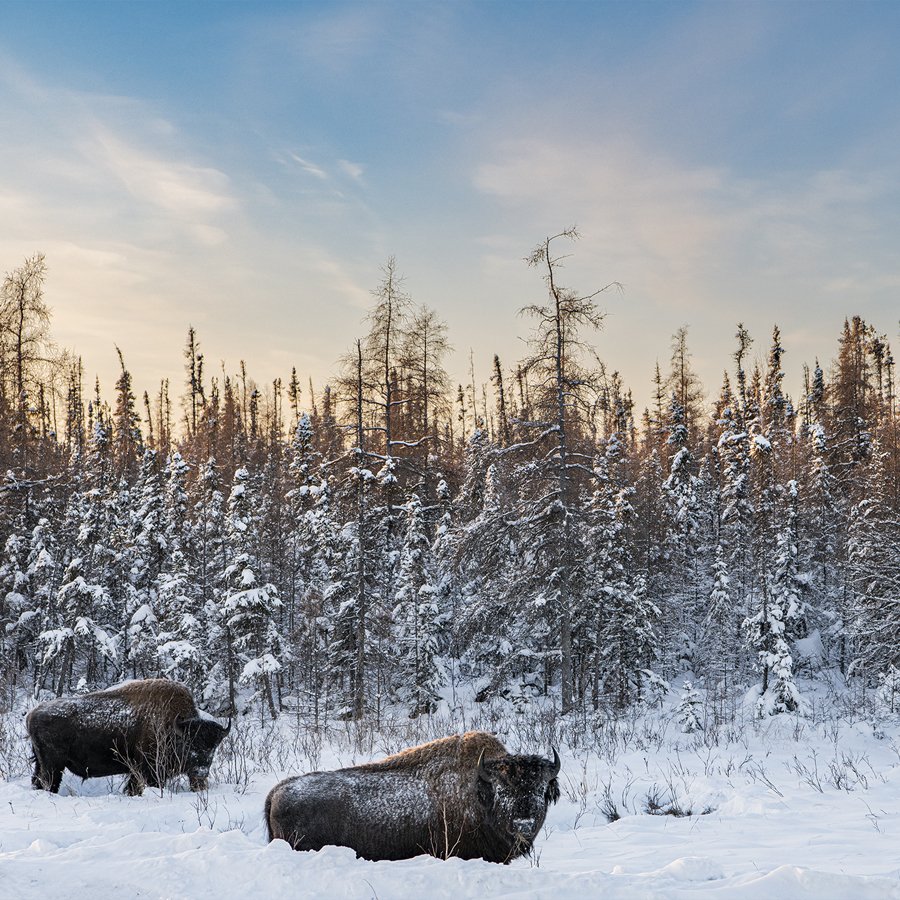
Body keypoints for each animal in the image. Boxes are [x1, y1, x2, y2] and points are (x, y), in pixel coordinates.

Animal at [26, 678, 230, 795]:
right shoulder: (149, 770)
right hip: (53, 766)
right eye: (189, 745)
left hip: (43, 764)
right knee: (48, 782)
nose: (201, 772)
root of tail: (32, 714)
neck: (173, 728)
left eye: (214, 748)